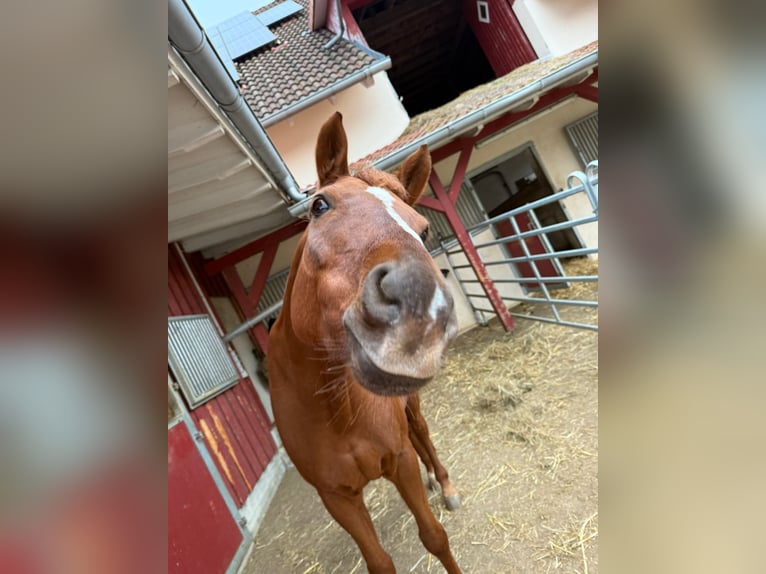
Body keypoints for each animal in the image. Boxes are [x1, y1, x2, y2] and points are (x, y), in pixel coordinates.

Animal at [267, 112, 462, 573]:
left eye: (424, 229)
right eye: (319, 205)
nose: (417, 297)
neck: (334, 407)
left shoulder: (399, 461)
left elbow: (434, 535)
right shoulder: (337, 497)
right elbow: (379, 562)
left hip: (412, 411)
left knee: (422, 435)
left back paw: (444, 484)